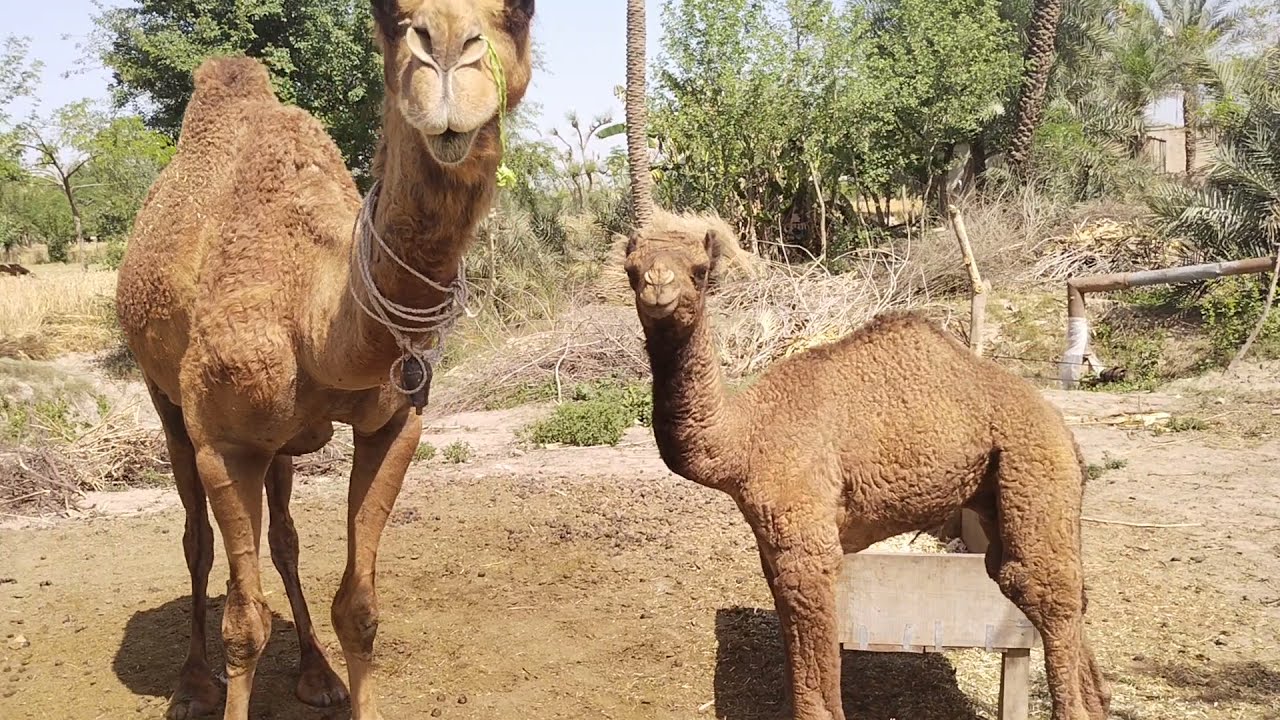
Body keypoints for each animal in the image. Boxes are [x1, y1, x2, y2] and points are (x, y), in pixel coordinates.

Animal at [114, 1, 534, 718]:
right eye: (391, 20)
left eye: (522, 13)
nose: (449, 55)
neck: (311, 313)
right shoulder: (225, 441)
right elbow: (244, 624)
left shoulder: (394, 425)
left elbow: (358, 609)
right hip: (162, 394)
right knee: (197, 538)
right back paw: (192, 685)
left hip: (279, 441)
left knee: (284, 539)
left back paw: (317, 674)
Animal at [623, 225, 1112, 720]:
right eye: (631, 268)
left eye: (700, 270)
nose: (658, 286)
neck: (743, 439)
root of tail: (1063, 428)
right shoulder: (770, 542)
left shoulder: (806, 540)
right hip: (1002, 493)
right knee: (1056, 586)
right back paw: (1100, 700)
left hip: (1032, 463)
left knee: (1042, 585)